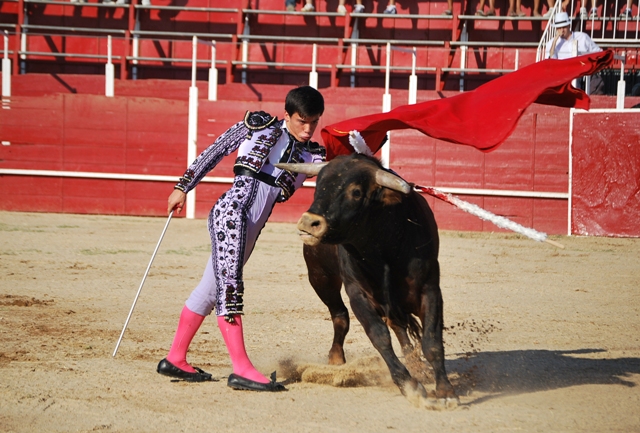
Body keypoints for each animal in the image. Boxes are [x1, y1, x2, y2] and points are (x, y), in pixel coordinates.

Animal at [278, 155, 458, 408]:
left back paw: (416, 364)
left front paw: (445, 391)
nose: (308, 223)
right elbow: (379, 336)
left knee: (399, 329)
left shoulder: (429, 289)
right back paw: (336, 358)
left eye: (356, 192)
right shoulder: (358, 295)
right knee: (340, 316)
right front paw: (410, 386)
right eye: (319, 185)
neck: (382, 246)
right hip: (320, 278)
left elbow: (431, 340)